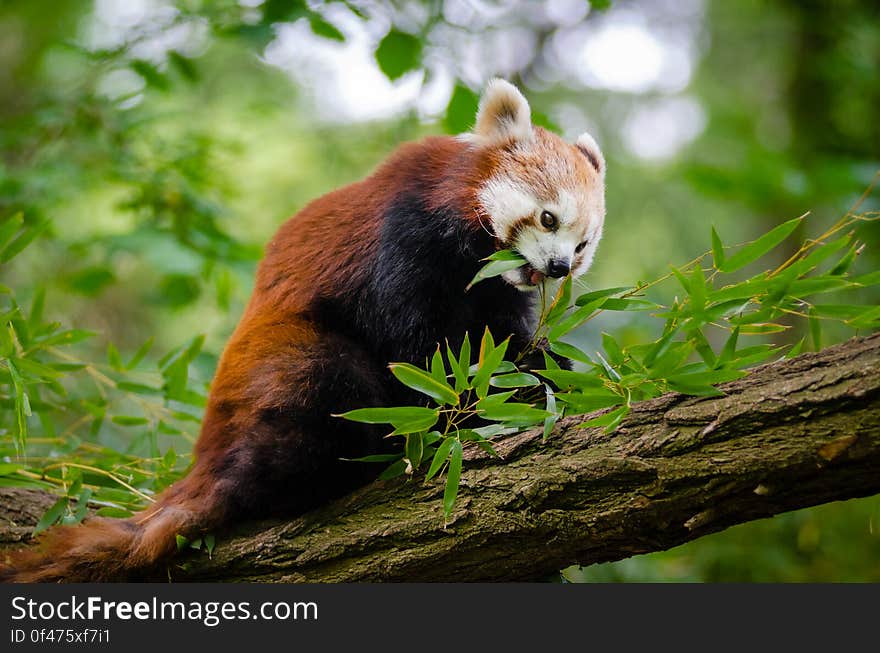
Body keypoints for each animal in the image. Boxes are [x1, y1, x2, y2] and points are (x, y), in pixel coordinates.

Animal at [1, 79, 604, 584]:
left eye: (581, 247)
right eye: (548, 218)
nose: (557, 268)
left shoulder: (494, 290)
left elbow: (495, 341)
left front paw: (541, 378)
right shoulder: (404, 239)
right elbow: (418, 347)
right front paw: (470, 409)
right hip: (284, 367)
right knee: (324, 384)